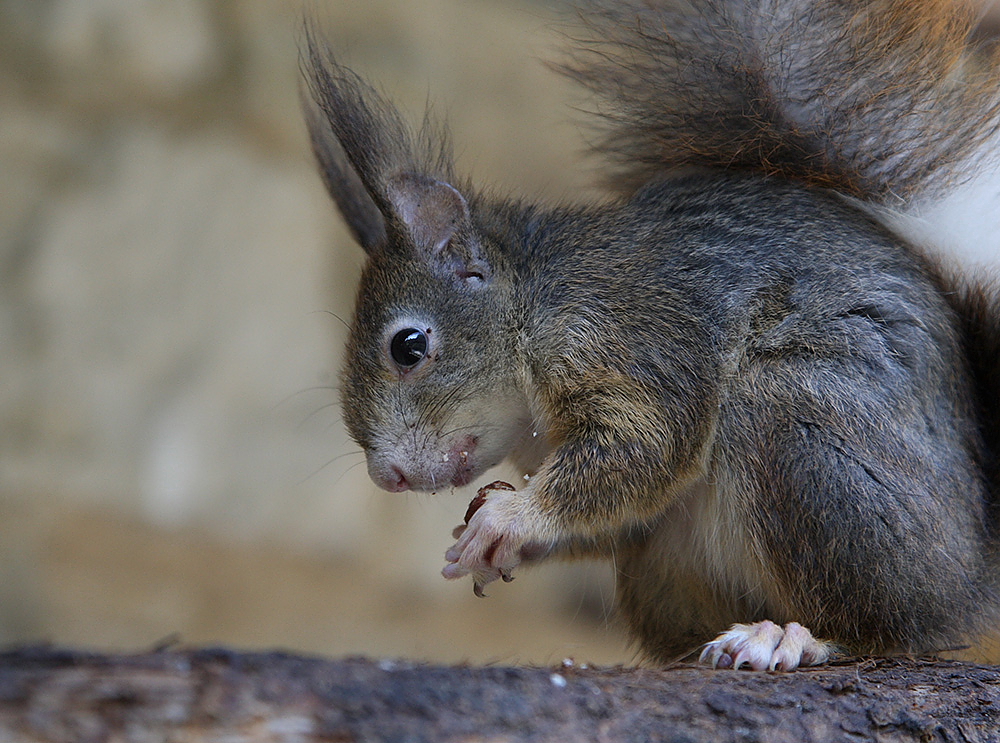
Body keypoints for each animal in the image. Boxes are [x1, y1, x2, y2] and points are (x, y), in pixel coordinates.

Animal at [300, 0, 1000, 676]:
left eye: (409, 347)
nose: (387, 476)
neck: (532, 309)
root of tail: (977, 571)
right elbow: (619, 512)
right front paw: (487, 538)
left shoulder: (630, 337)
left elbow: (647, 444)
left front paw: (510, 517)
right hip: (667, 568)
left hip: (802, 439)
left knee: (895, 632)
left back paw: (790, 638)